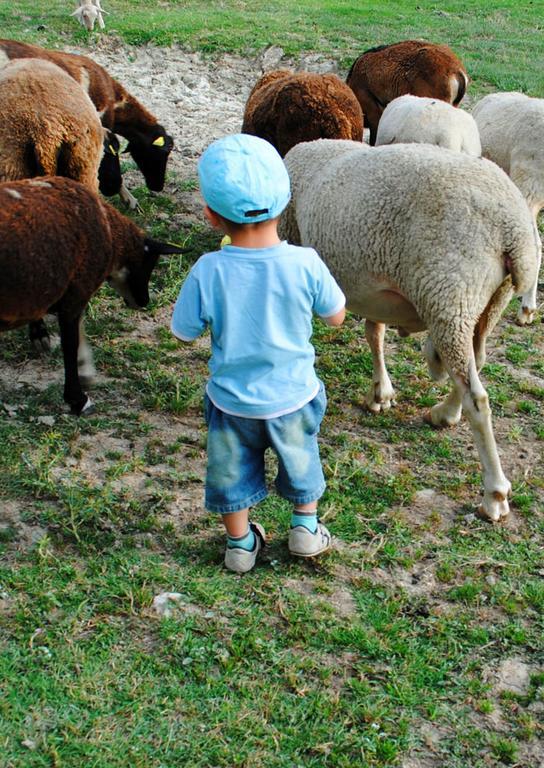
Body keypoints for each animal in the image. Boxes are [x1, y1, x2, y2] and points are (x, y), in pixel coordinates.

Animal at [280, 138, 540, 520]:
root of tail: (513, 230)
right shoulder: (372, 287)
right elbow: (374, 333)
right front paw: (381, 392)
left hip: (449, 292)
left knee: (476, 397)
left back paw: (493, 493)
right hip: (488, 300)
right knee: (474, 362)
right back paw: (445, 413)